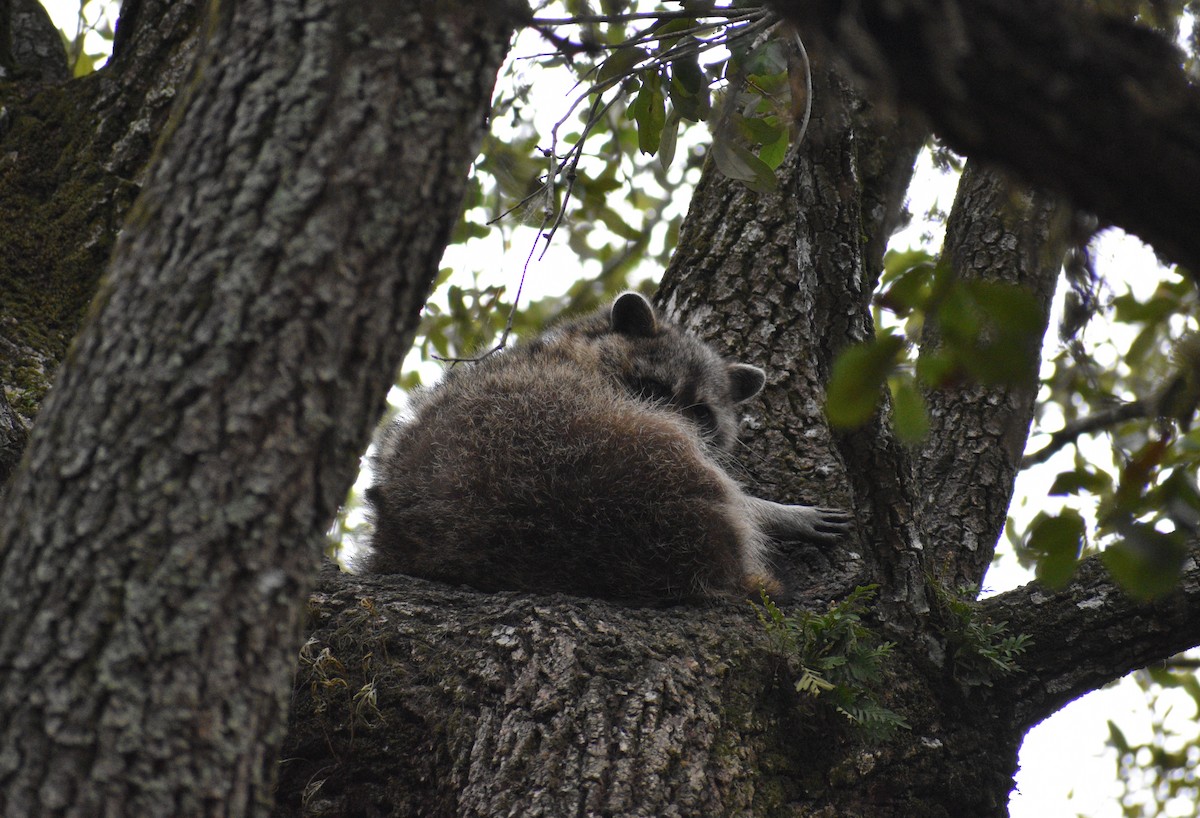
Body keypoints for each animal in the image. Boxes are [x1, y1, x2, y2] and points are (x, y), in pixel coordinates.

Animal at [364, 292, 851, 603]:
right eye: (652, 389)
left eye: (700, 414)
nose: (681, 424)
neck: (575, 346)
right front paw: (774, 511)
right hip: (580, 447)